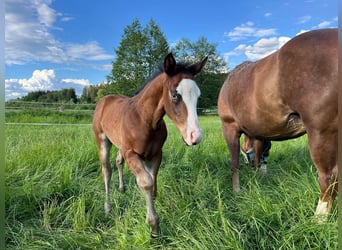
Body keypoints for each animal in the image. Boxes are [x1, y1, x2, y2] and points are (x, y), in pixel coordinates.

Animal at [92, 52, 207, 236]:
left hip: (119, 144)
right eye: (175, 95)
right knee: (107, 171)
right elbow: (146, 182)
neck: (145, 120)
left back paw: (122, 189)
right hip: (102, 141)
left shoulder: (155, 153)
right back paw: (108, 207)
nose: (195, 136)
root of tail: (105, 99)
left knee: (118, 160)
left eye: (198, 96)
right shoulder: (131, 153)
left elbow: (153, 182)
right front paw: (154, 226)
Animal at [218, 28, 338, 221]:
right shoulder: (261, 134)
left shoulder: (229, 127)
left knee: (328, 177)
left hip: (321, 133)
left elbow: (234, 163)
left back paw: (319, 219)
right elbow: (259, 157)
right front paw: (258, 180)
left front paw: (236, 191)